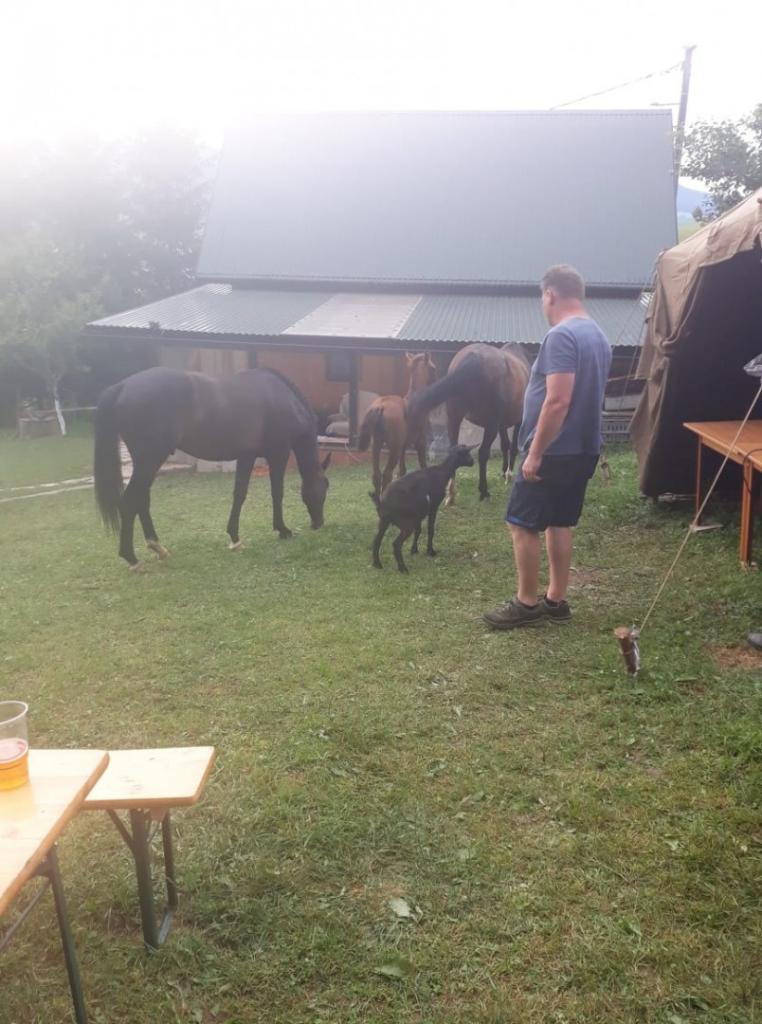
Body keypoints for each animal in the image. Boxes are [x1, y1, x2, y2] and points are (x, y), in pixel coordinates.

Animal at [93, 366, 330, 570]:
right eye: (326, 487)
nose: (319, 523)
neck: (285, 400)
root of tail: (123, 385)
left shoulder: (247, 456)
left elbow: (239, 494)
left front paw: (235, 538)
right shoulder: (278, 454)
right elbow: (277, 493)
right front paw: (282, 529)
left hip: (147, 464)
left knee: (141, 501)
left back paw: (158, 548)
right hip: (149, 461)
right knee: (129, 502)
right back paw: (132, 559)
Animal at [357, 352, 436, 500]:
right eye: (433, 368)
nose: (436, 380)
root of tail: (380, 406)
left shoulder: (403, 446)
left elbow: (402, 471)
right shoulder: (420, 442)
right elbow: (423, 466)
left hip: (376, 445)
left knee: (376, 475)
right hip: (393, 447)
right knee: (386, 474)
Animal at [408, 343, 530, 504]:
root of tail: (474, 358)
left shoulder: (502, 424)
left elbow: (505, 445)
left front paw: (504, 472)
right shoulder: (516, 422)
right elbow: (513, 446)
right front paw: (508, 474)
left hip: (455, 417)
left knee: (454, 449)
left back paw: (451, 494)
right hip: (490, 424)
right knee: (483, 453)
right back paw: (484, 492)